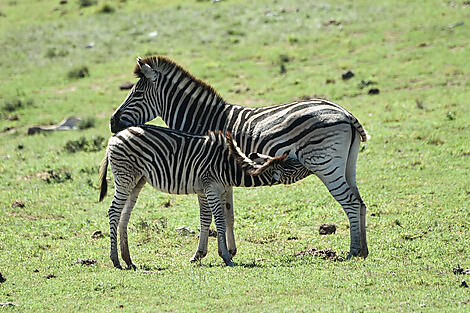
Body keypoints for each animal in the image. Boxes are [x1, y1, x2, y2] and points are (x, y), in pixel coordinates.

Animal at [98, 125, 302, 266]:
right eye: (295, 166)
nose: (307, 162)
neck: (229, 167)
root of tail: (116, 136)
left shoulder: (209, 190)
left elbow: (211, 219)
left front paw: (200, 255)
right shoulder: (211, 187)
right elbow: (219, 220)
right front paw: (226, 257)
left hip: (137, 181)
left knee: (124, 215)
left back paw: (128, 260)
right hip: (125, 177)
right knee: (114, 212)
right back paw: (116, 260)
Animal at [111, 56, 370, 258]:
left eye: (137, 93)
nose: (112, 122)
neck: (204, 120)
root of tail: (345, 113)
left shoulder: (201, 170)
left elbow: (207, 216)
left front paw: (200, 253)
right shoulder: (221, 174)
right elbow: (228, 214)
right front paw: (230, 250)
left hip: (325, 165)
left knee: (350, 202)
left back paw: (352, 251)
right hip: (347, 165)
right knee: (360, 202)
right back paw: (363, 250)